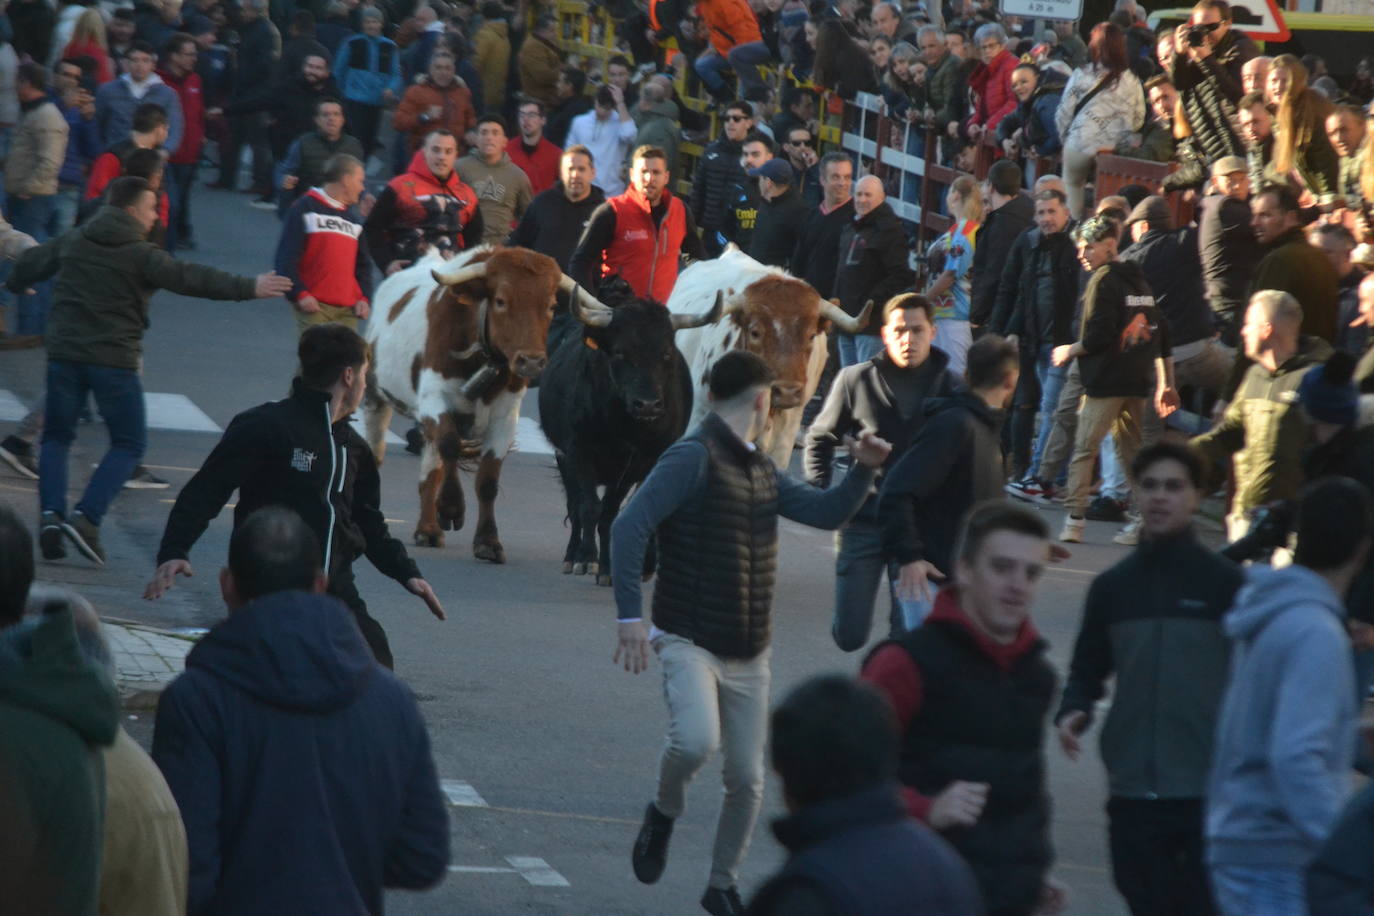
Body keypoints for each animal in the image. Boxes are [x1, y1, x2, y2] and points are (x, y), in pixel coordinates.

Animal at [362, 245, 610, 560]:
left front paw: (488, 541)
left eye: (552, 305)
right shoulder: (434, 399)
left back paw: (428, 529)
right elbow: (450, 444)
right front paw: (451, 507)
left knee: (430, 470)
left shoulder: (506, 416)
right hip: (375, 395)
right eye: (501, 300)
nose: (531, 361)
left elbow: (488, 480)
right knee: (379, 450)